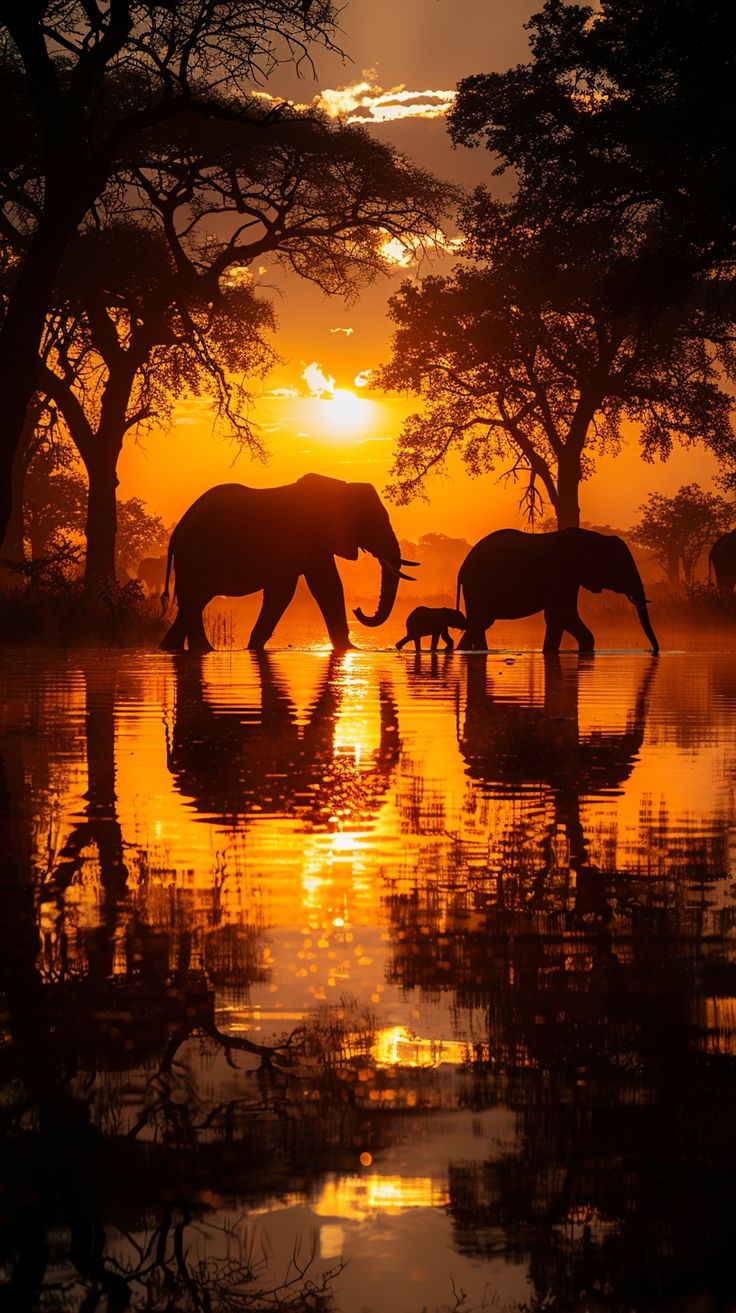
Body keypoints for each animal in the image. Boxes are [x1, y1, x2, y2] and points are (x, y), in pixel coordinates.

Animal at [159, 475, 414, 653]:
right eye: (371, 521)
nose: (359, 609)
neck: (339, 487)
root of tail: (177, 530)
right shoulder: (294, 538)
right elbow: (284, 591)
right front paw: (253, 648)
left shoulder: (316, 541)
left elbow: (328, 586)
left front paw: (349, 649)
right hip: (195, 556)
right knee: (194, 600)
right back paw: (204, 650)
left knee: (194, 601)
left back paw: (170, 648)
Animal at [456, 525, 655, 653]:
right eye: (620, 565)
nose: (653, 650)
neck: (592, 538)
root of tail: (463, 567)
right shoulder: (559, 573)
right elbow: (562, 614)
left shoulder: (569, 578)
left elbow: (557, 617)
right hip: (477, 586)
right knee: (480, 622)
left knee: (480, 623)